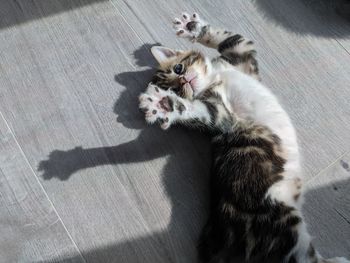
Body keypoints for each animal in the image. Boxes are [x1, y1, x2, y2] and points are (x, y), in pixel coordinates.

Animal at [138, 11, 348, 263]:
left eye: (178, 69)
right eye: (175, 90)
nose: (185, 81)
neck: (216, 77)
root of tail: (218, 235)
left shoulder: (242, 57)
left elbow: (230, 38)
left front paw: (192, 27)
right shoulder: (221, 115)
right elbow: (197, 111)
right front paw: (165, 105)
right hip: (280, 223)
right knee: (302, 257)